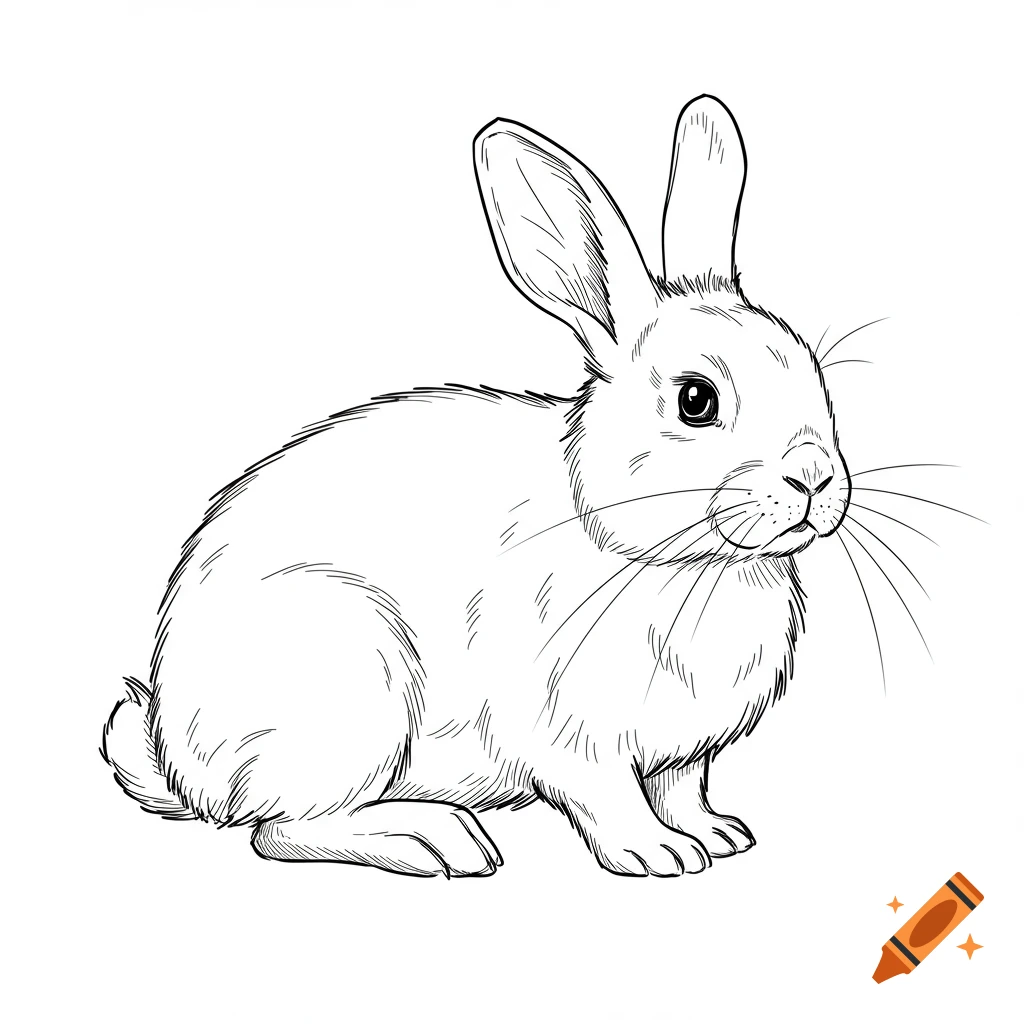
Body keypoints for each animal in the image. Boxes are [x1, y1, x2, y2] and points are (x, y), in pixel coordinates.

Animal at [101, 95, 850, 877]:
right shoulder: (573, 737)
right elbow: (609, 800)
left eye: (812, 371)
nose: (814, 476)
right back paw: (435, 839)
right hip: (353, 688)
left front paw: (718, 835)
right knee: (280, 830)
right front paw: (658, 854)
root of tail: (183, 766)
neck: (682, 562)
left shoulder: (681, 749)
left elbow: (681, 788)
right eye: (696, 400)